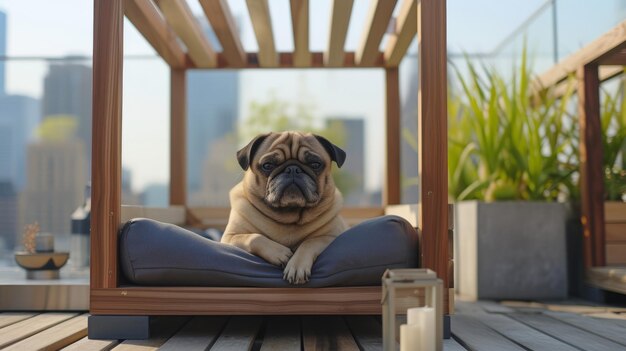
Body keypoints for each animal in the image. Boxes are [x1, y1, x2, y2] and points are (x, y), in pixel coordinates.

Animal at [221, 132, 348, 286]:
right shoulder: (230, 237)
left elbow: (310, 242)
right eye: (267, 165)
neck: (288, 214)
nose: (293, 169)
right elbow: (254, 237)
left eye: (315, 164)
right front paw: (280, 254)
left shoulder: (332, 236)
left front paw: (297, 265)